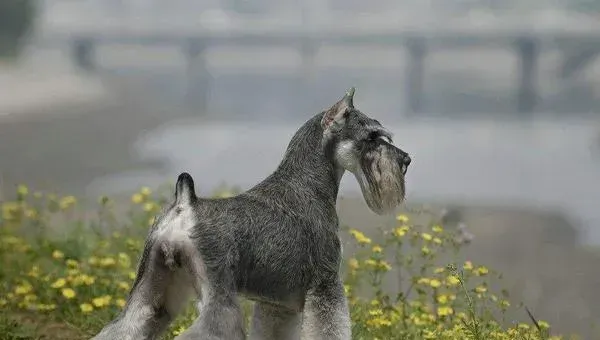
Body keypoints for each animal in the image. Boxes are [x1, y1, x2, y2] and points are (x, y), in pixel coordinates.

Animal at [92, 88, 412, 340]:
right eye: (371, 137)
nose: (406, 159)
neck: (308, 184)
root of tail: (185, 204)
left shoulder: (277, 305)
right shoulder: (325, 284)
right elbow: (329, 329)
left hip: (151, 287)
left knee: (124, 327)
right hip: (219, 298)